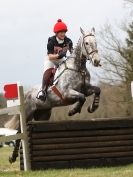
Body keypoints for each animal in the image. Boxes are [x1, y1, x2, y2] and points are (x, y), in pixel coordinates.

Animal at [4, 27, 101, 163]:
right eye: (87, 43)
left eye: (95, 42)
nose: (97, 61)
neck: (78, 68)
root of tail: (25, 94)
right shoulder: (66, 93)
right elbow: (81, 97)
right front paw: (73, 110)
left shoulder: (86, 89)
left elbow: (97, 90)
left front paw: (92, 108)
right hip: (27, 113)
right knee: (19, 132)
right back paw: (12, 157)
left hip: (43, 115)